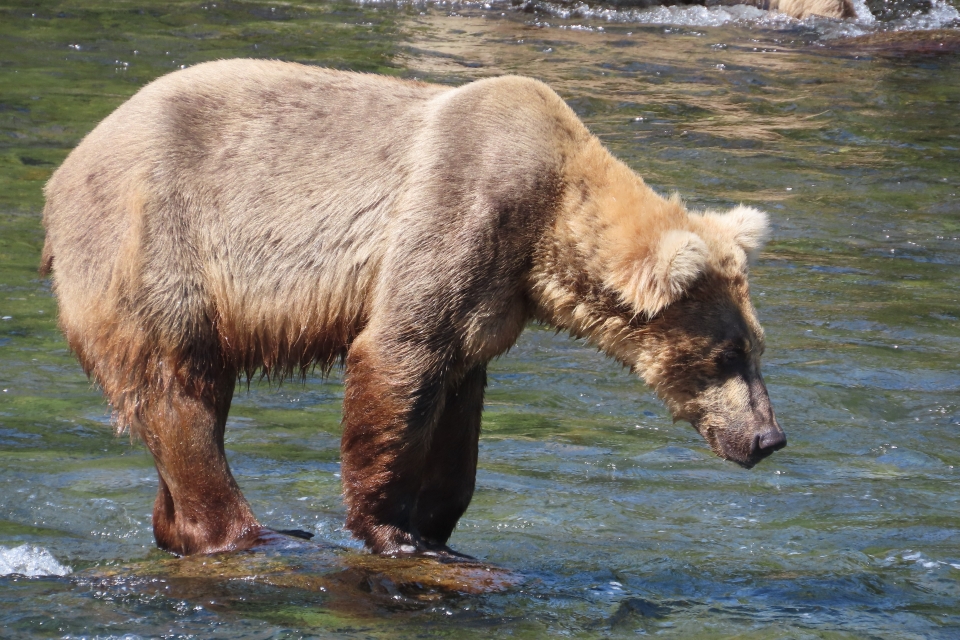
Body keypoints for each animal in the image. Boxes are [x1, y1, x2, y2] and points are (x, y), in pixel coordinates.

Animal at [41, 59, 785, 558]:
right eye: (726, 354)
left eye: (757, 349)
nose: (768, 438)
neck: (547, 229)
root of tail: (62, 175)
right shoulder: (460, 208)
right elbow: (398, 356)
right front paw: (390, 527)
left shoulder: (495, 296)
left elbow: (458, 398)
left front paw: (437, 524)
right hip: (153, 244)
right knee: (179, 392)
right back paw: (250, 532)